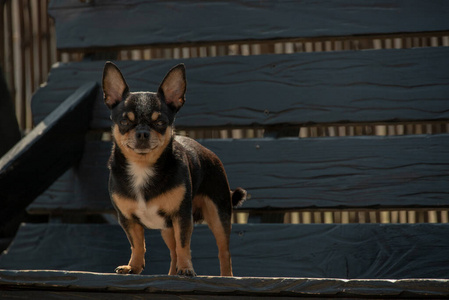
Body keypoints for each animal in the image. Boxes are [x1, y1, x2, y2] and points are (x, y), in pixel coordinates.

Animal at [102, 61, 245, 276]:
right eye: (124, 122)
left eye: (161, 123)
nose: (142, 132)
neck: (143, 167)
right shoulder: (127, 219)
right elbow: (137, 244)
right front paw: (133, 266)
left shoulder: (182, 216)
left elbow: (184, 244)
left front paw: (186, 269)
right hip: (167, 228)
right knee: (173, 251)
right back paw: (171, 274)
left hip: (218, 215)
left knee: (223, 252)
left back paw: (226, 277)